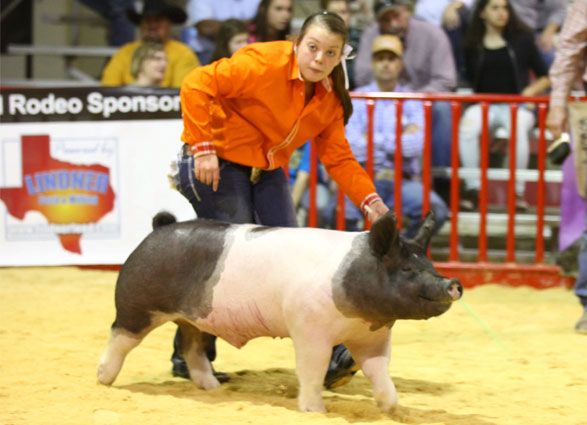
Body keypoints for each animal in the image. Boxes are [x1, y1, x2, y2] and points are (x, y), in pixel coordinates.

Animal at [97, 210, 464, 412]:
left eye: (429, 263)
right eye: (406, 269)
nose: (453, 283)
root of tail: (159, 227)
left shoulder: (371, 338)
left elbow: (378, 370)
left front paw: (391, 408)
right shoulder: (309, 329)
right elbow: (311, 371)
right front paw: (315, 411)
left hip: (193, 318)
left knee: (192, 347)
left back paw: (214, 388)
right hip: (136, 303)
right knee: (119, 337)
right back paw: (104, 379)